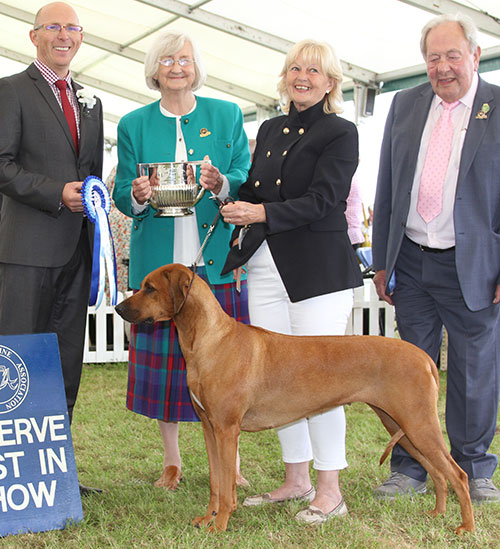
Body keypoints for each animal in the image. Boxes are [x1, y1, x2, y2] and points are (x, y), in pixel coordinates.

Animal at [115, 264, 474, 532]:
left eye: (149, 288)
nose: (118, 308)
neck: (210, 340)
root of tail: (424, 356)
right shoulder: (209, 427)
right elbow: (216, 483)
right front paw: (207, 519)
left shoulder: (227, 430)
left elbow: (227, 485)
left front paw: (221, 526)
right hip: (402, 425)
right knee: (438, 473)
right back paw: (437, 514)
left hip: (418, 423)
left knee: (458, 474)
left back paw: (465, 528)